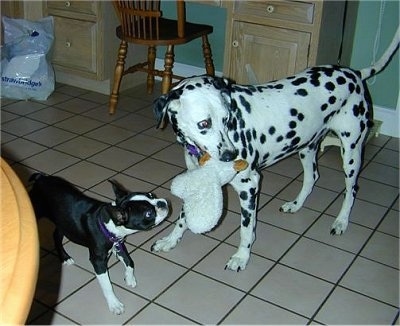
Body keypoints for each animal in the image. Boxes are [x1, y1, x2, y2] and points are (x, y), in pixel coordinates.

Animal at [152, 28, 398, 272]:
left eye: (226, 119)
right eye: (204, 124)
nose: (231, 156)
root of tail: (353, 73)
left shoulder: (249, 185)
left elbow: (246, 229)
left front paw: (242, 256)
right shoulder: (197, 180)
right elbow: (183, 217)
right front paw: (170, 240)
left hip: (351, 152)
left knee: (351, 189)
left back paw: (341, 221)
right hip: (306, 147)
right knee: (312, 177)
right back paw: (296, 205)